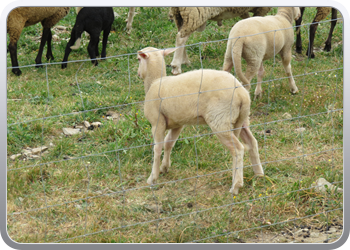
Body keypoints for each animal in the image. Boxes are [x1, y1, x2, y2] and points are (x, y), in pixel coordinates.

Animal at [138, 47, 264, 195]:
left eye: (138, 59)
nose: (138, 74)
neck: (155, 81)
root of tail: (242, 95)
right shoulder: (178, 123)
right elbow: (168, 143)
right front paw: (164, 167)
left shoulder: (157, 122)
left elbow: (157, 148)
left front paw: (152, 178)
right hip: (242, 119)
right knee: (252, 142)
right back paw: (259, 174)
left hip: (220, 120)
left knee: (238, 150)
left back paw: (236, 186)